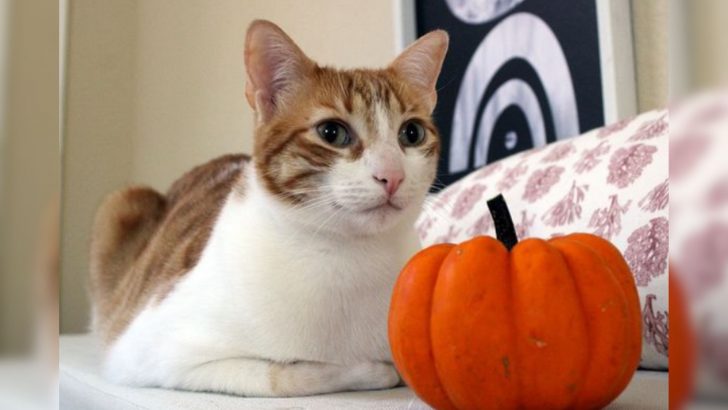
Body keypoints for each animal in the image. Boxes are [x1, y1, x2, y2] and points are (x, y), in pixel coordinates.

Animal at [88, 20, 446, 398]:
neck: (348, 256)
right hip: (122, 202)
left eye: (411, 133)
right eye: (331, 132)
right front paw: (369, 370)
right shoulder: (154, 355)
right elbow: (285, 376)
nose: (392, 175)